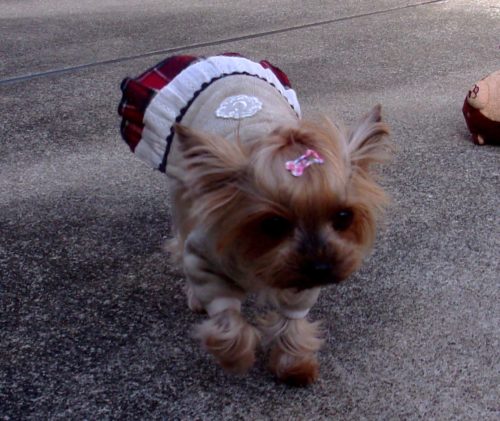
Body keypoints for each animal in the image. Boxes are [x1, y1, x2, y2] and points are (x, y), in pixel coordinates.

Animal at [118, 54, 391, 386]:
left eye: (343, 216)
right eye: (273, 224)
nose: (321, 268)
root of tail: (216, 58)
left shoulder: (302, 278)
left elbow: (292, 317)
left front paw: (293, 365)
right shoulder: (205, 255)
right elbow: (226, 319)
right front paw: (235, 358)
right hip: (184, 186)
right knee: (181, 232)